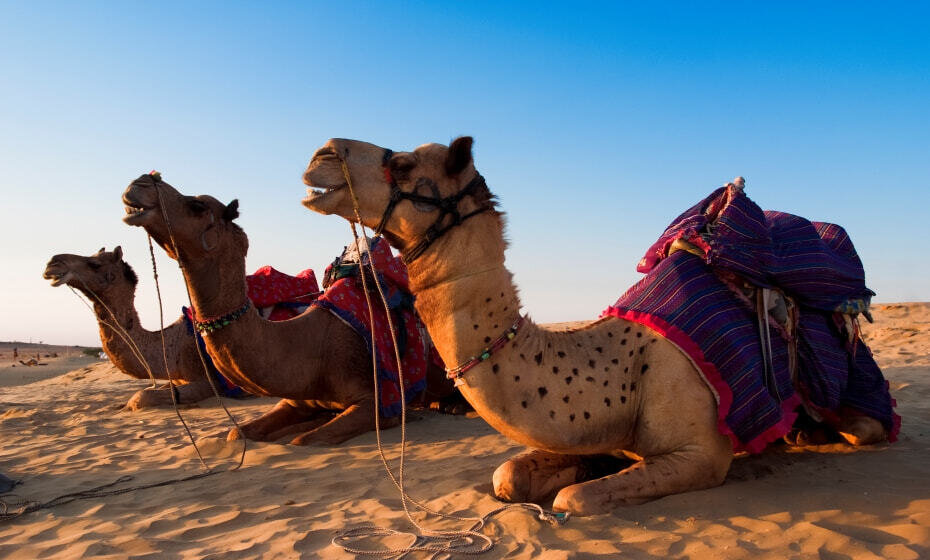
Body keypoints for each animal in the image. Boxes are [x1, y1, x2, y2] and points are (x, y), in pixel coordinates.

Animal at [44, 247, 219, 410]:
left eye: (95, 264)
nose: (51, 264)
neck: (173, 348)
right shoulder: (176, 379)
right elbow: (149, 390)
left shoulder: (208, 381)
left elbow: (141, 396)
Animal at [121, 175, 458, 446]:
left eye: (197, 206)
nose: (139, 183)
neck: (312, 348)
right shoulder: (296, 400)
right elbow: (237, 432)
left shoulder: (377, 401)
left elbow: (308, 439)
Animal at [300, 137, 888, 516]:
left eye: (400, 163)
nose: (320, 155)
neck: (619, 376)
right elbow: (508, 477)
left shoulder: (703, 454)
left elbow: (573, 499)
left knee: (865, 427)